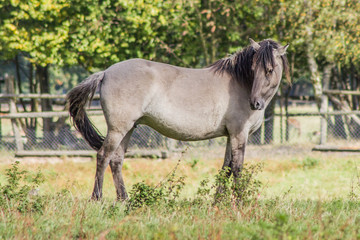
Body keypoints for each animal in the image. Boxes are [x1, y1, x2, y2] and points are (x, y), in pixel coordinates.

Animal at [66, 38, 288, 200]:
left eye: (269, 70)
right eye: (253, 69)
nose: (255, 103)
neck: (240, 83)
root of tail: (105, 73)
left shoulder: (230, 136)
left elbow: (226, 168)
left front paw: (218, 203)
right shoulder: (239, 134)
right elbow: (237, 168)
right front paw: (240, 202)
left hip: (128, 129)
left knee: (116, 160)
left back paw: (124, 200)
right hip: (117, 129)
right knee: (103, 156)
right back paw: (97, 198)